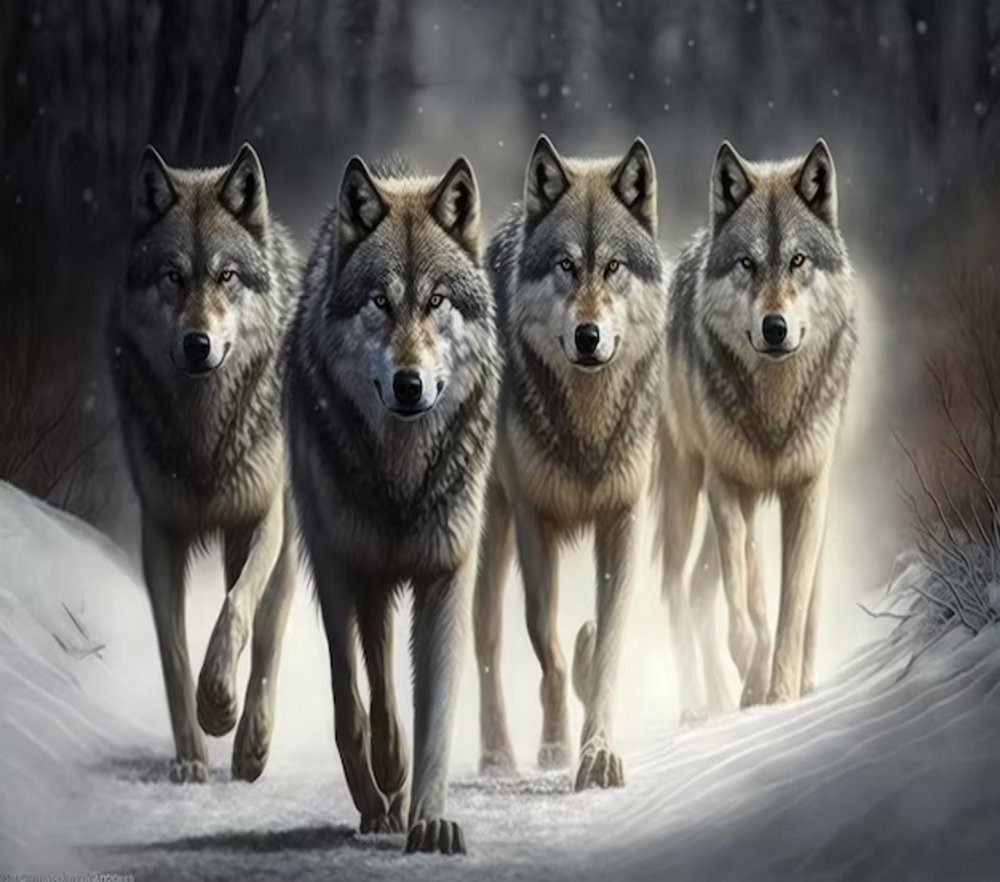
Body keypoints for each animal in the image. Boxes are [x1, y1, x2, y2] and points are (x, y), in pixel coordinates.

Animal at [108, 143, 300, 783]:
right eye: (173, 275)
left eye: (225, 276)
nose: (198, 344)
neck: (204, 437)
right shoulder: (159, 533)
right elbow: (173, 650)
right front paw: (191, 753)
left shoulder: (259, 520)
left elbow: (235, 611)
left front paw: (218, 704)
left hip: (284, 542)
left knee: (266, 637)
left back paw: (252, 744)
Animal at [283, 154, 500, 854]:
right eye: (381, 301)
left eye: (436, 301)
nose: (409, 384)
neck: (404, 475)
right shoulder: (352, 568)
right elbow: (359, 699)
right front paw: (381, 785)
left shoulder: (445, 573)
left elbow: (437, 714)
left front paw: (429, 820)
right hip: (346, 565)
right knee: (361, 679)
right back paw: (380, 789)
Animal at [473, 136, 665, 791]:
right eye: (565, 265)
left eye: (613, 267)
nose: (588, 336)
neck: (588, 428)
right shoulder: (536, 522)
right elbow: (546, 642)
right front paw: (558, 745)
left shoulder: (624, 521)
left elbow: (606, 646)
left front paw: (598, 751)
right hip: (491, 529)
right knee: (486, 637)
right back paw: (497, 755)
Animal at [656, 139, 857, 719]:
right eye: (747, 262)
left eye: (798, 260)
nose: (775, 327)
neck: (775, 410)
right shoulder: (731, 486)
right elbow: (748, 605)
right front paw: (755, 675)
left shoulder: (807, 490)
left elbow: (795, 604)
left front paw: (784, 691)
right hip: (687, 487)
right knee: (678, 585)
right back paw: (700, 705)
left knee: (708, 589)